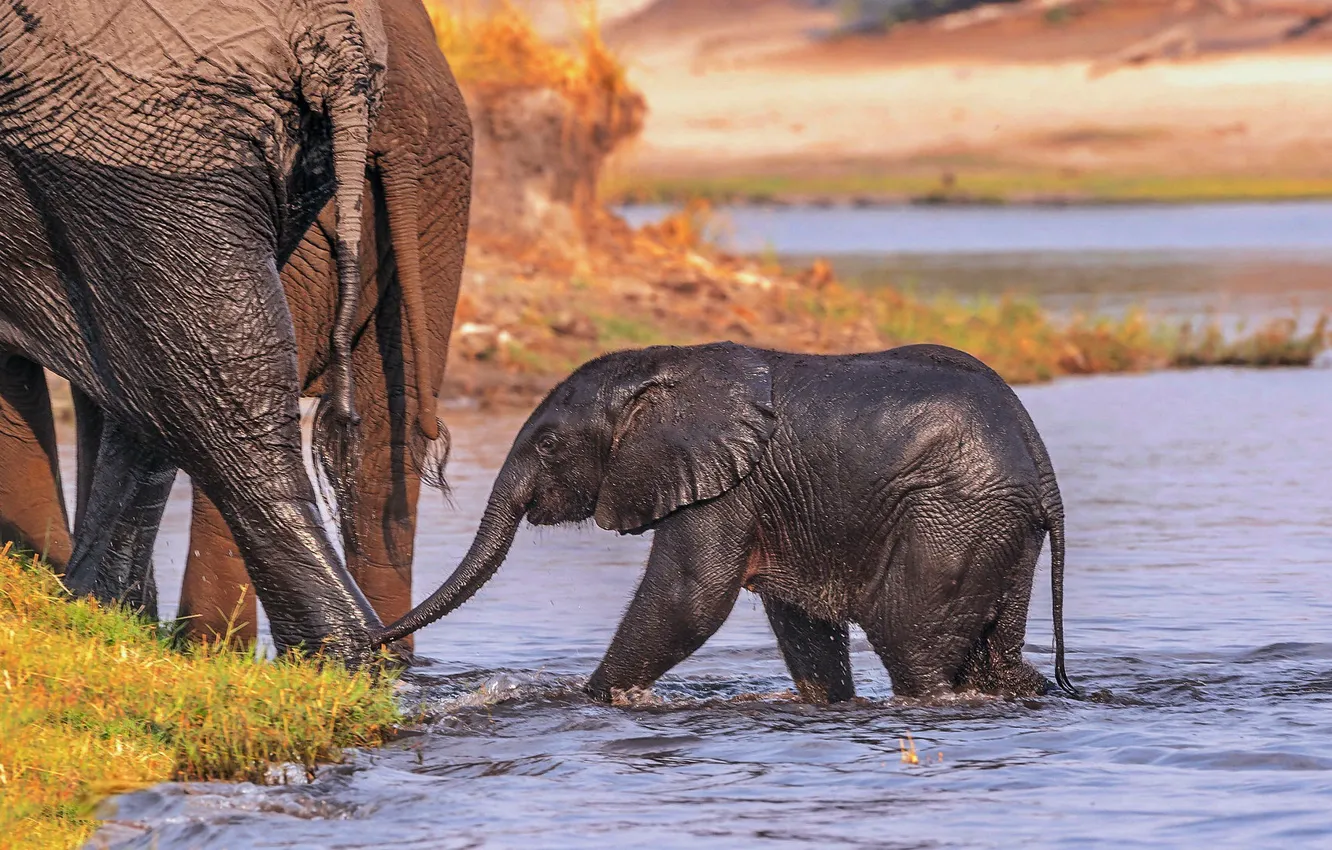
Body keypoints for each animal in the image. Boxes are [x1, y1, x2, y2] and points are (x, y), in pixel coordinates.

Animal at [0, 0, 389, 661]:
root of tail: (333, 33)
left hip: (148, 144)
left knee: (211, 393)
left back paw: (337, 663)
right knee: (165, 381)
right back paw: (95, 612)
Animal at [375, 342, 1076, 702]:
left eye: (547, 446)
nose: (368, 642)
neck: (662, 370)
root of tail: (1044, 469)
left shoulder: (726, 483)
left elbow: (690, 598)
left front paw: (580, 702)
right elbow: (800, 622)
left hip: (951, 520)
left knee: (915, 652)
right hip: (997, 533)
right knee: (995, 661)